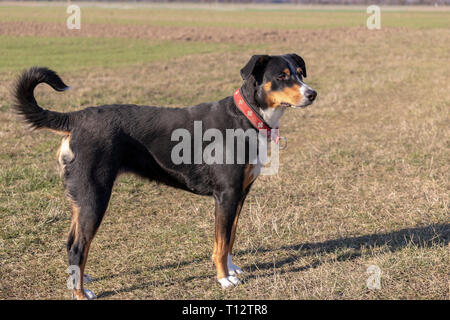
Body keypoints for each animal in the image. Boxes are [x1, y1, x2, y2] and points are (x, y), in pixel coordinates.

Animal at [13, 53, 316, 298]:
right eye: (281, 76)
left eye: (300, 73)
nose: (312, 93)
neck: (246, 117)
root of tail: (76, 118)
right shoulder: (226, 195)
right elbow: (220, 243)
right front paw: (224, 279)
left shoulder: (239, 195)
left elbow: (230, 238)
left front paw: (232, 270)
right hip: (94, 197)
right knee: (78, 246)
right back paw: (80, 293)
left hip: (82, 200)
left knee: (72, 243)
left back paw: (79, 277)